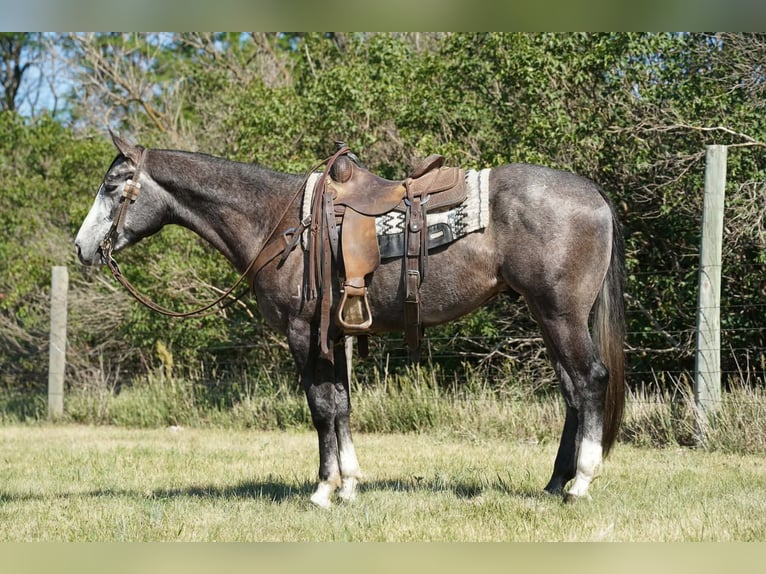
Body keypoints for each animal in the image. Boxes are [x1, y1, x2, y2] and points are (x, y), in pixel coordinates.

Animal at [75, 132, 626, 508]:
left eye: (112, 187)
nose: (81, 248)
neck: (277, 221)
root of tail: (594, 194)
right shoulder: (334, 333)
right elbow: (341, 406)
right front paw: (350, 485)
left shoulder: (303, 334)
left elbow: (321, 409)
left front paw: (324, 489)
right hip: (547, 315)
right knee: (571, 391)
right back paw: (554, 483)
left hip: (560, 313)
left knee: (589, 381)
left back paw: (580, 482)